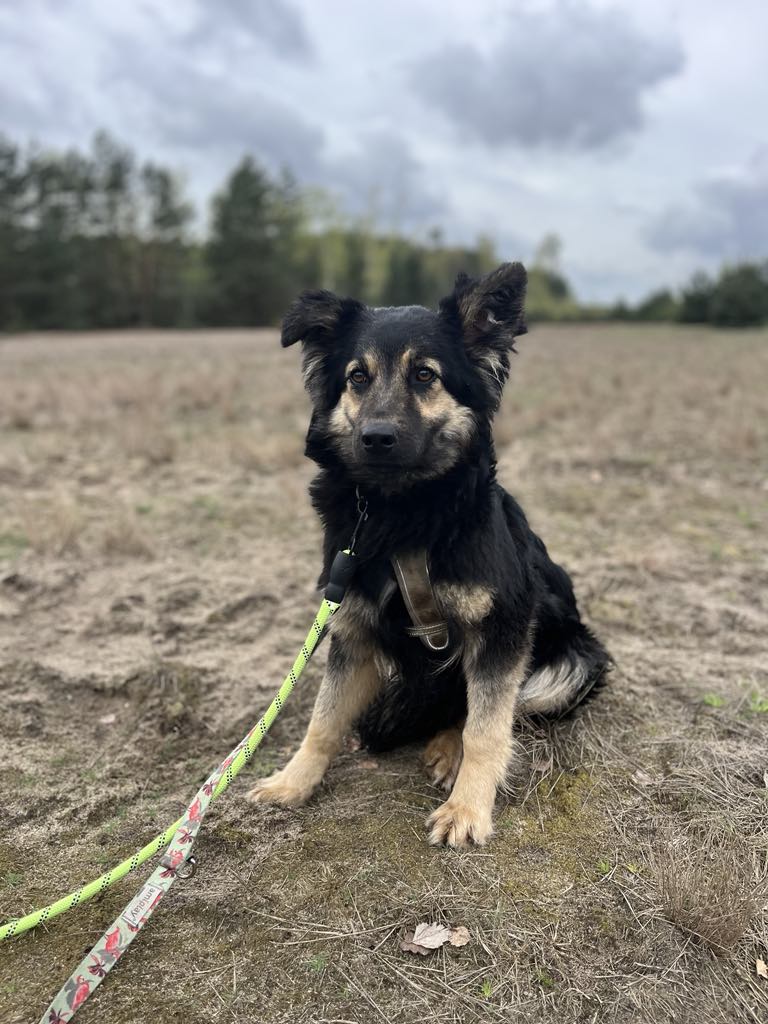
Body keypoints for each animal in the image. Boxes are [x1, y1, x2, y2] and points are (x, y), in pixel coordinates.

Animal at [247, 262, 610, 847]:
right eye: (357, 377)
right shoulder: (353, 627)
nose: (376, 437)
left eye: (424, 375)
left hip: (573, 663)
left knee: (491, 708)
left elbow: (487, 728)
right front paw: (292, 783)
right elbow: (322, 719)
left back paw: (447, 748)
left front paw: (467, 808)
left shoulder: (503, 628)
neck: (402, 512)